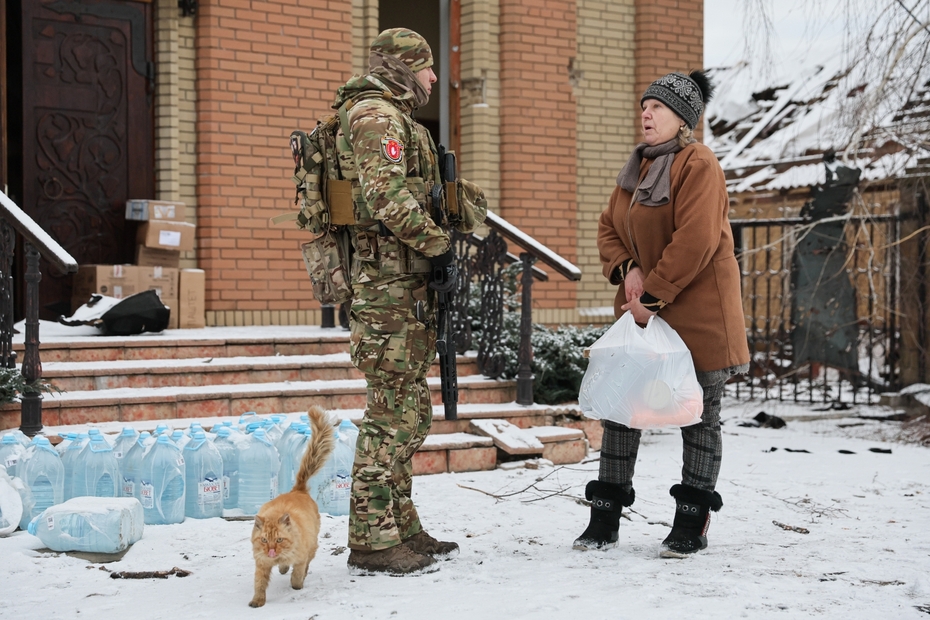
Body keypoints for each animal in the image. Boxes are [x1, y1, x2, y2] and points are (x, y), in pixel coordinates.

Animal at [248, 404, 336, 608]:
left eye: (279, 540)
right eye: (264, 540)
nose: (271, 550)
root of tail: (298, 490)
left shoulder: (301, 558)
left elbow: (297, 575)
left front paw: (297, 585)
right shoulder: (261, 563)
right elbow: (259, 584)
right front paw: (257, 601)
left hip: (313, 544)